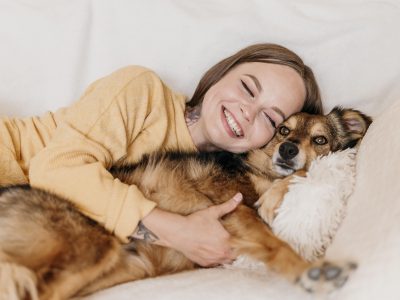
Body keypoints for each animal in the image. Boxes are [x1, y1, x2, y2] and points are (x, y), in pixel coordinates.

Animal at [0, 106, 372, 298]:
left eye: (320, 139)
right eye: (282, 129)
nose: (288, 149)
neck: (256, 171)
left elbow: (302, 174)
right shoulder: (233, 210)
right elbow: (275, 242)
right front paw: (311, 272)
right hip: (91, 245)